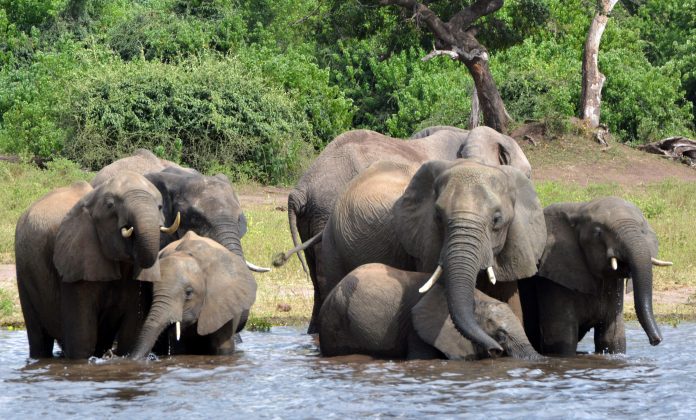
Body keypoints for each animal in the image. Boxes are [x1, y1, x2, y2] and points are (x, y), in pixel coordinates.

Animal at [15, 172, 179, 359]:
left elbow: (130, 335)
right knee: (39, 339)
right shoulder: (77, 260)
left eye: (160, 207)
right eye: (110, 206)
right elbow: (82, 340)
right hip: (24, 271)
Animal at [518, 196, 669, 355]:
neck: (579, 209)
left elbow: (612, 338)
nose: (656, 341)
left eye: (642, 230)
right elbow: (562, 342)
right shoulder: (552, 277)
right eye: (598, 234)